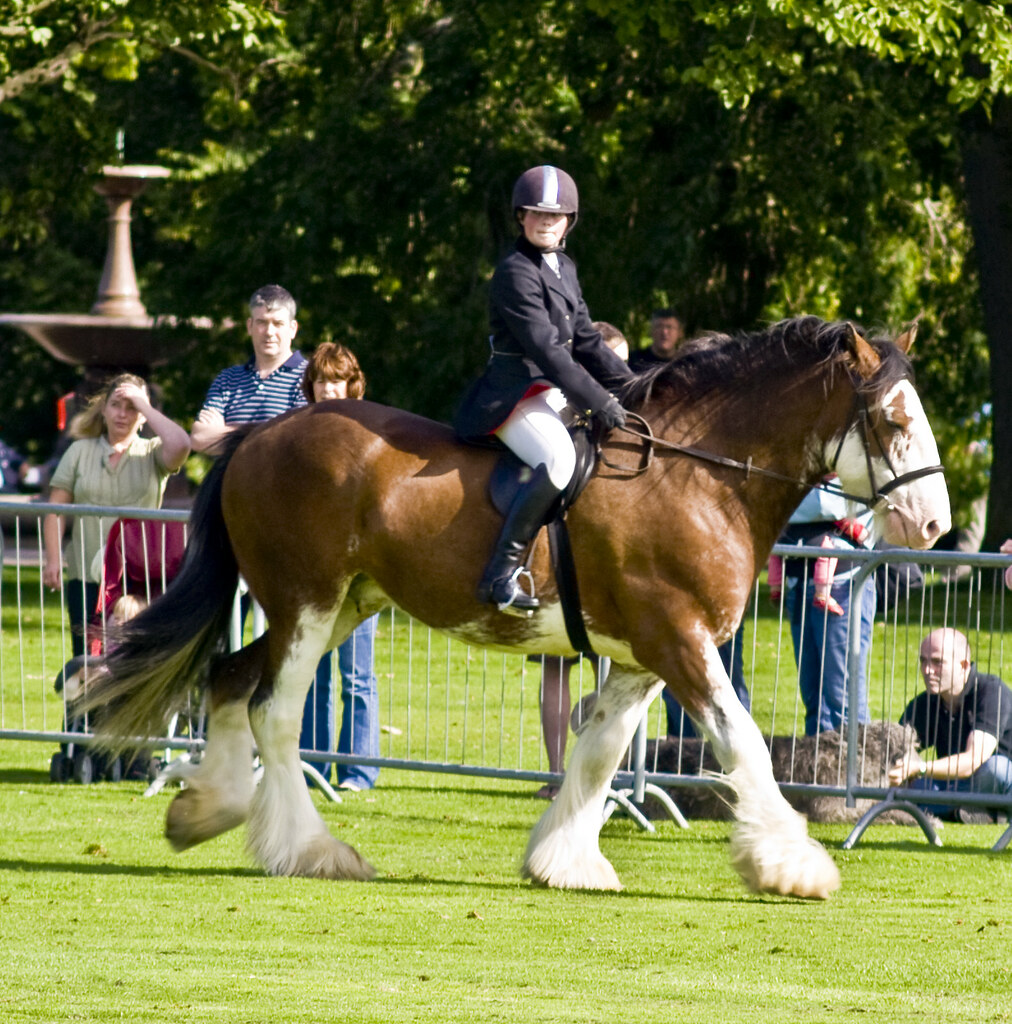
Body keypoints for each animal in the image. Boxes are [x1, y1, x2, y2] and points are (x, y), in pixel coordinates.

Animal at [89, 316, 950, 898]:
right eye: (895, 420)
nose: (935, 528)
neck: (697, 477)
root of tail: (260, 437)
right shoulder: (679, 640)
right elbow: (743, 743)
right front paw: (792, 867)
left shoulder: (643, 657)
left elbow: (599, 753)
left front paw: (563, 861)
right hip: (307, 603)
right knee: (273, 709)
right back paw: (312, 851)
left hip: (340, 608)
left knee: (231, 678)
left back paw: (205, 809)